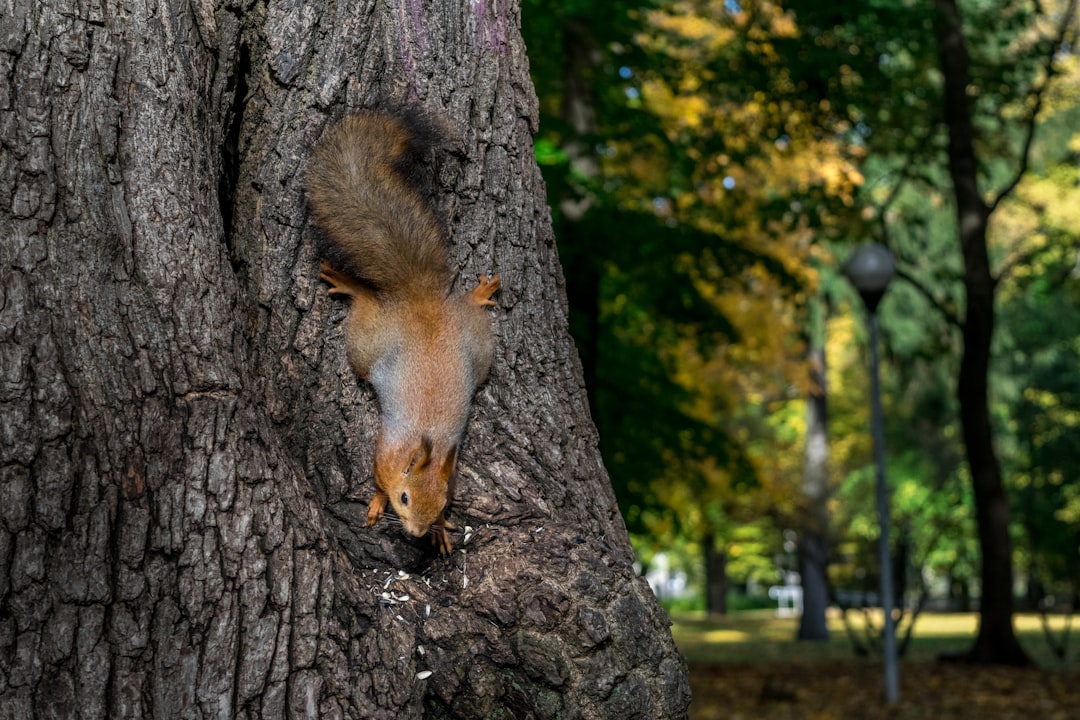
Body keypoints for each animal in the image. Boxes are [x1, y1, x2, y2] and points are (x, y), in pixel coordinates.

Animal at [306, 110, 498, 557]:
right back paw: (353, 286)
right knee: (365, 307)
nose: (415, 532)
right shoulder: (386, 452)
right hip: (367, 342)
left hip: (478, 346)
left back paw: (478, 295)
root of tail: (419, 301)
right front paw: (378, 503)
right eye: (405, 498)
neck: (425, 444)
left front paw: (441, 531)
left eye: (443, 503)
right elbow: (378, 479)